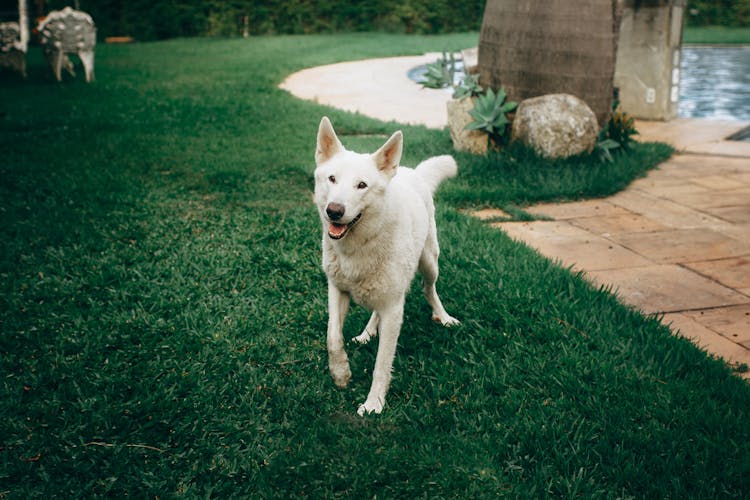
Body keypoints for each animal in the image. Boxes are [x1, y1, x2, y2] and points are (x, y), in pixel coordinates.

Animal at [314, 116, 462, 414]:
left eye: (361, 185)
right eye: (332, 179)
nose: (333, 211)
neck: (359, 245)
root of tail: (410, 171)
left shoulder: (394, 311)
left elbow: (381, 365)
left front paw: (374, 404)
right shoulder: (337, 290)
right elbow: (332, 338)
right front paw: (341, 374)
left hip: (429, 263)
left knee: (430, 289)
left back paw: (443, 317)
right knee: (376, 311)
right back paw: (367, 332)